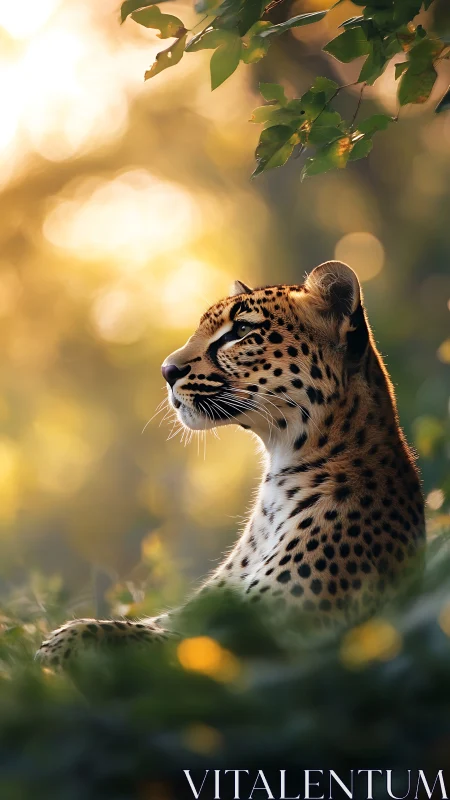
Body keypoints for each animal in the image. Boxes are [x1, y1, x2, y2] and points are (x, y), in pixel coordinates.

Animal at [36, 261, 425, 667]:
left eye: (240, 331)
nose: (166, 371)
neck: (278, 480)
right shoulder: (199, 611)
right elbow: (147, 624)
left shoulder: (262, 626)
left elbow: (143, 637)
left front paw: (61, 641)